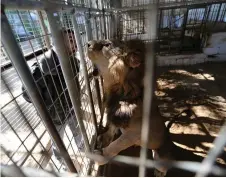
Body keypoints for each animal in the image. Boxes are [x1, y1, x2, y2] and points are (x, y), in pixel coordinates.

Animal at [87, 39, 174, 177]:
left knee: (162, 166)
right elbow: (111, 130)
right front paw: (103, 138)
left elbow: (115, 145)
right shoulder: (116, 118)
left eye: (107, 45)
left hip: (162, 156)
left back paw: (158, 172)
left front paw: (101, 156)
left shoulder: (133, 134)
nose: (88, 44)